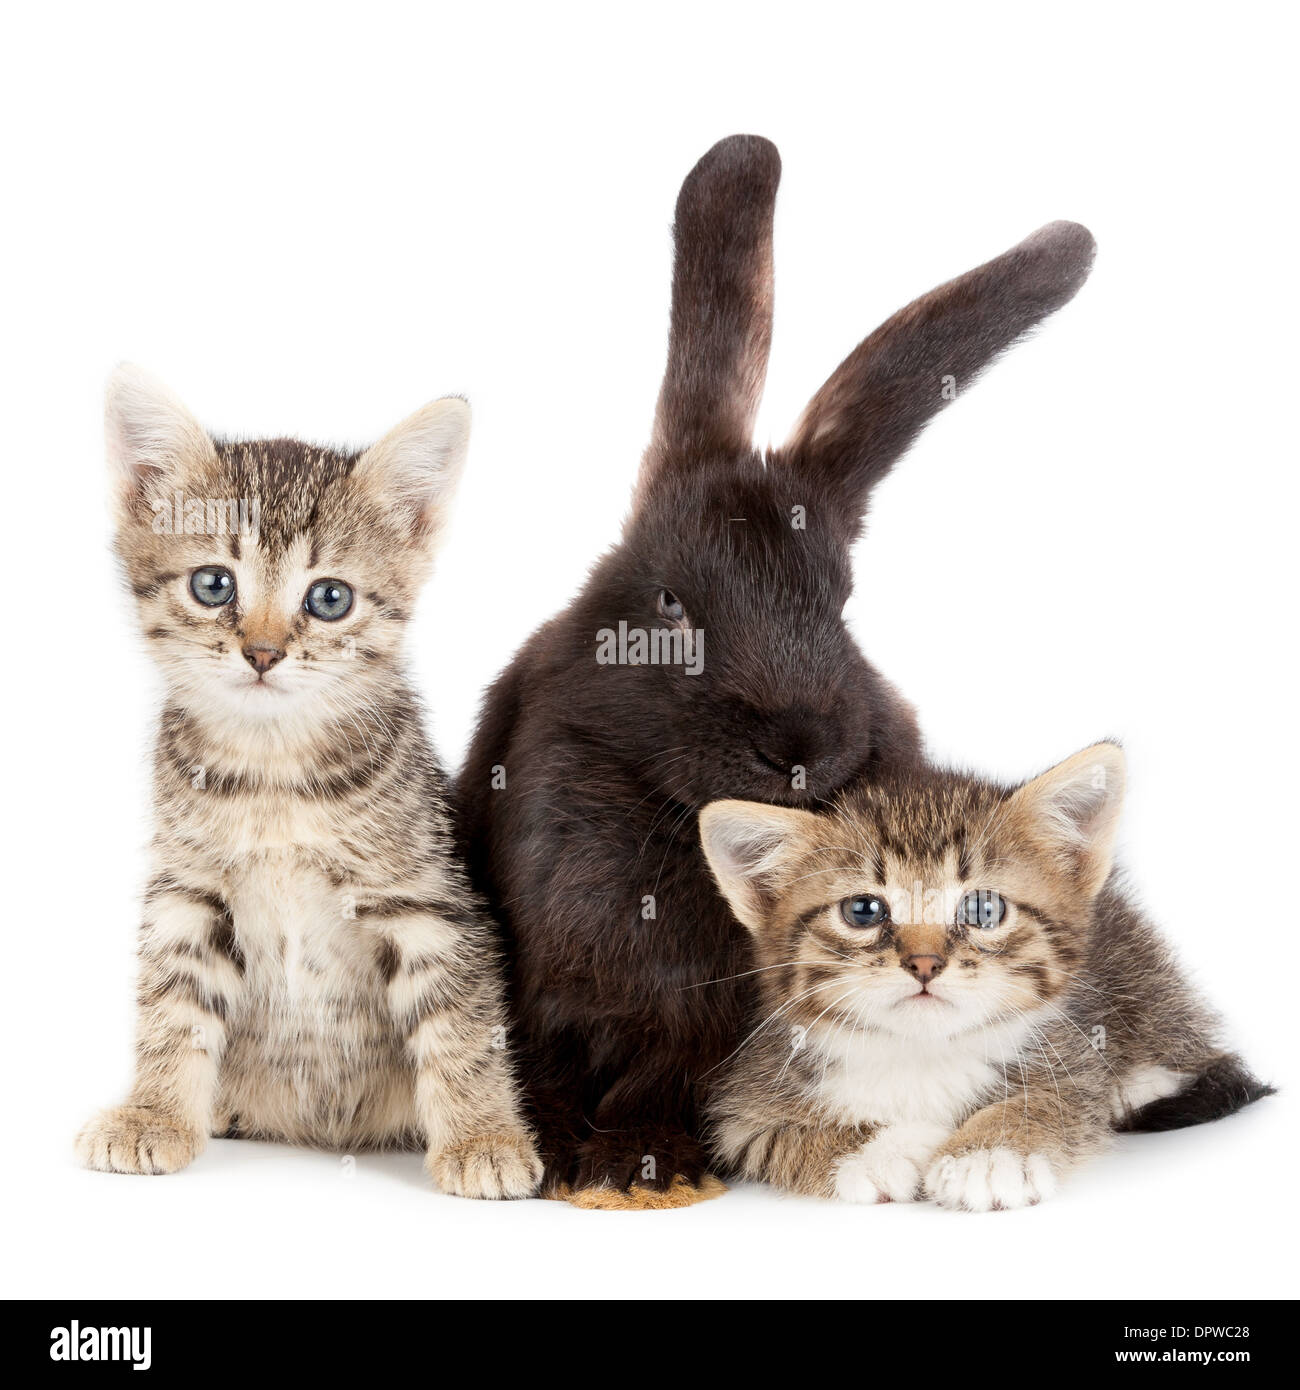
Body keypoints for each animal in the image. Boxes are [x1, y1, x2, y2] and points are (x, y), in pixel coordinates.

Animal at [78, 366, 542, 1195]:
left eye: (330, 598)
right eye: (213, 584)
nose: (262, 653)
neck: (273, 776)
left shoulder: (426, 897)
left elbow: (460, 1021)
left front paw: (483, 1136)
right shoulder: (188, 892)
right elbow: (171, 1002)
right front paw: (153, 1113)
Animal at [700, 745, 1273, 1212]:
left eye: (982, 908)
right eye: (863, 910)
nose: (925, 963)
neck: (922, 1054)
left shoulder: (1072, 1055)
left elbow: (1066, 1099)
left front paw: (989, 1154)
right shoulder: (744, 1106)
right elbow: (770, 1135)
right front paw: (885, 1149)